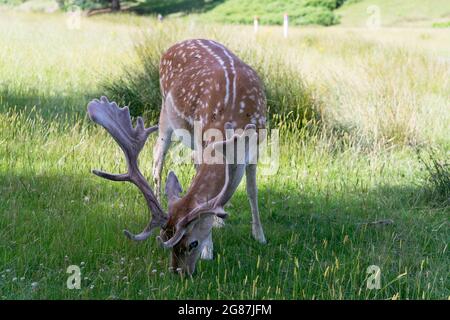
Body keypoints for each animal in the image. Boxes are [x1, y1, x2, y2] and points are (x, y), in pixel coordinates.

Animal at [87, 38, 268, 274]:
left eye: (192, 243)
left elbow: (251, 190)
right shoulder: (203, 139)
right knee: (157, 156)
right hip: (166, 112)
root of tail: (178, 43)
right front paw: (210, 250)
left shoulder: (256, 142)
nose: (177, 272)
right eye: (166, 237)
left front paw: (259, 236)